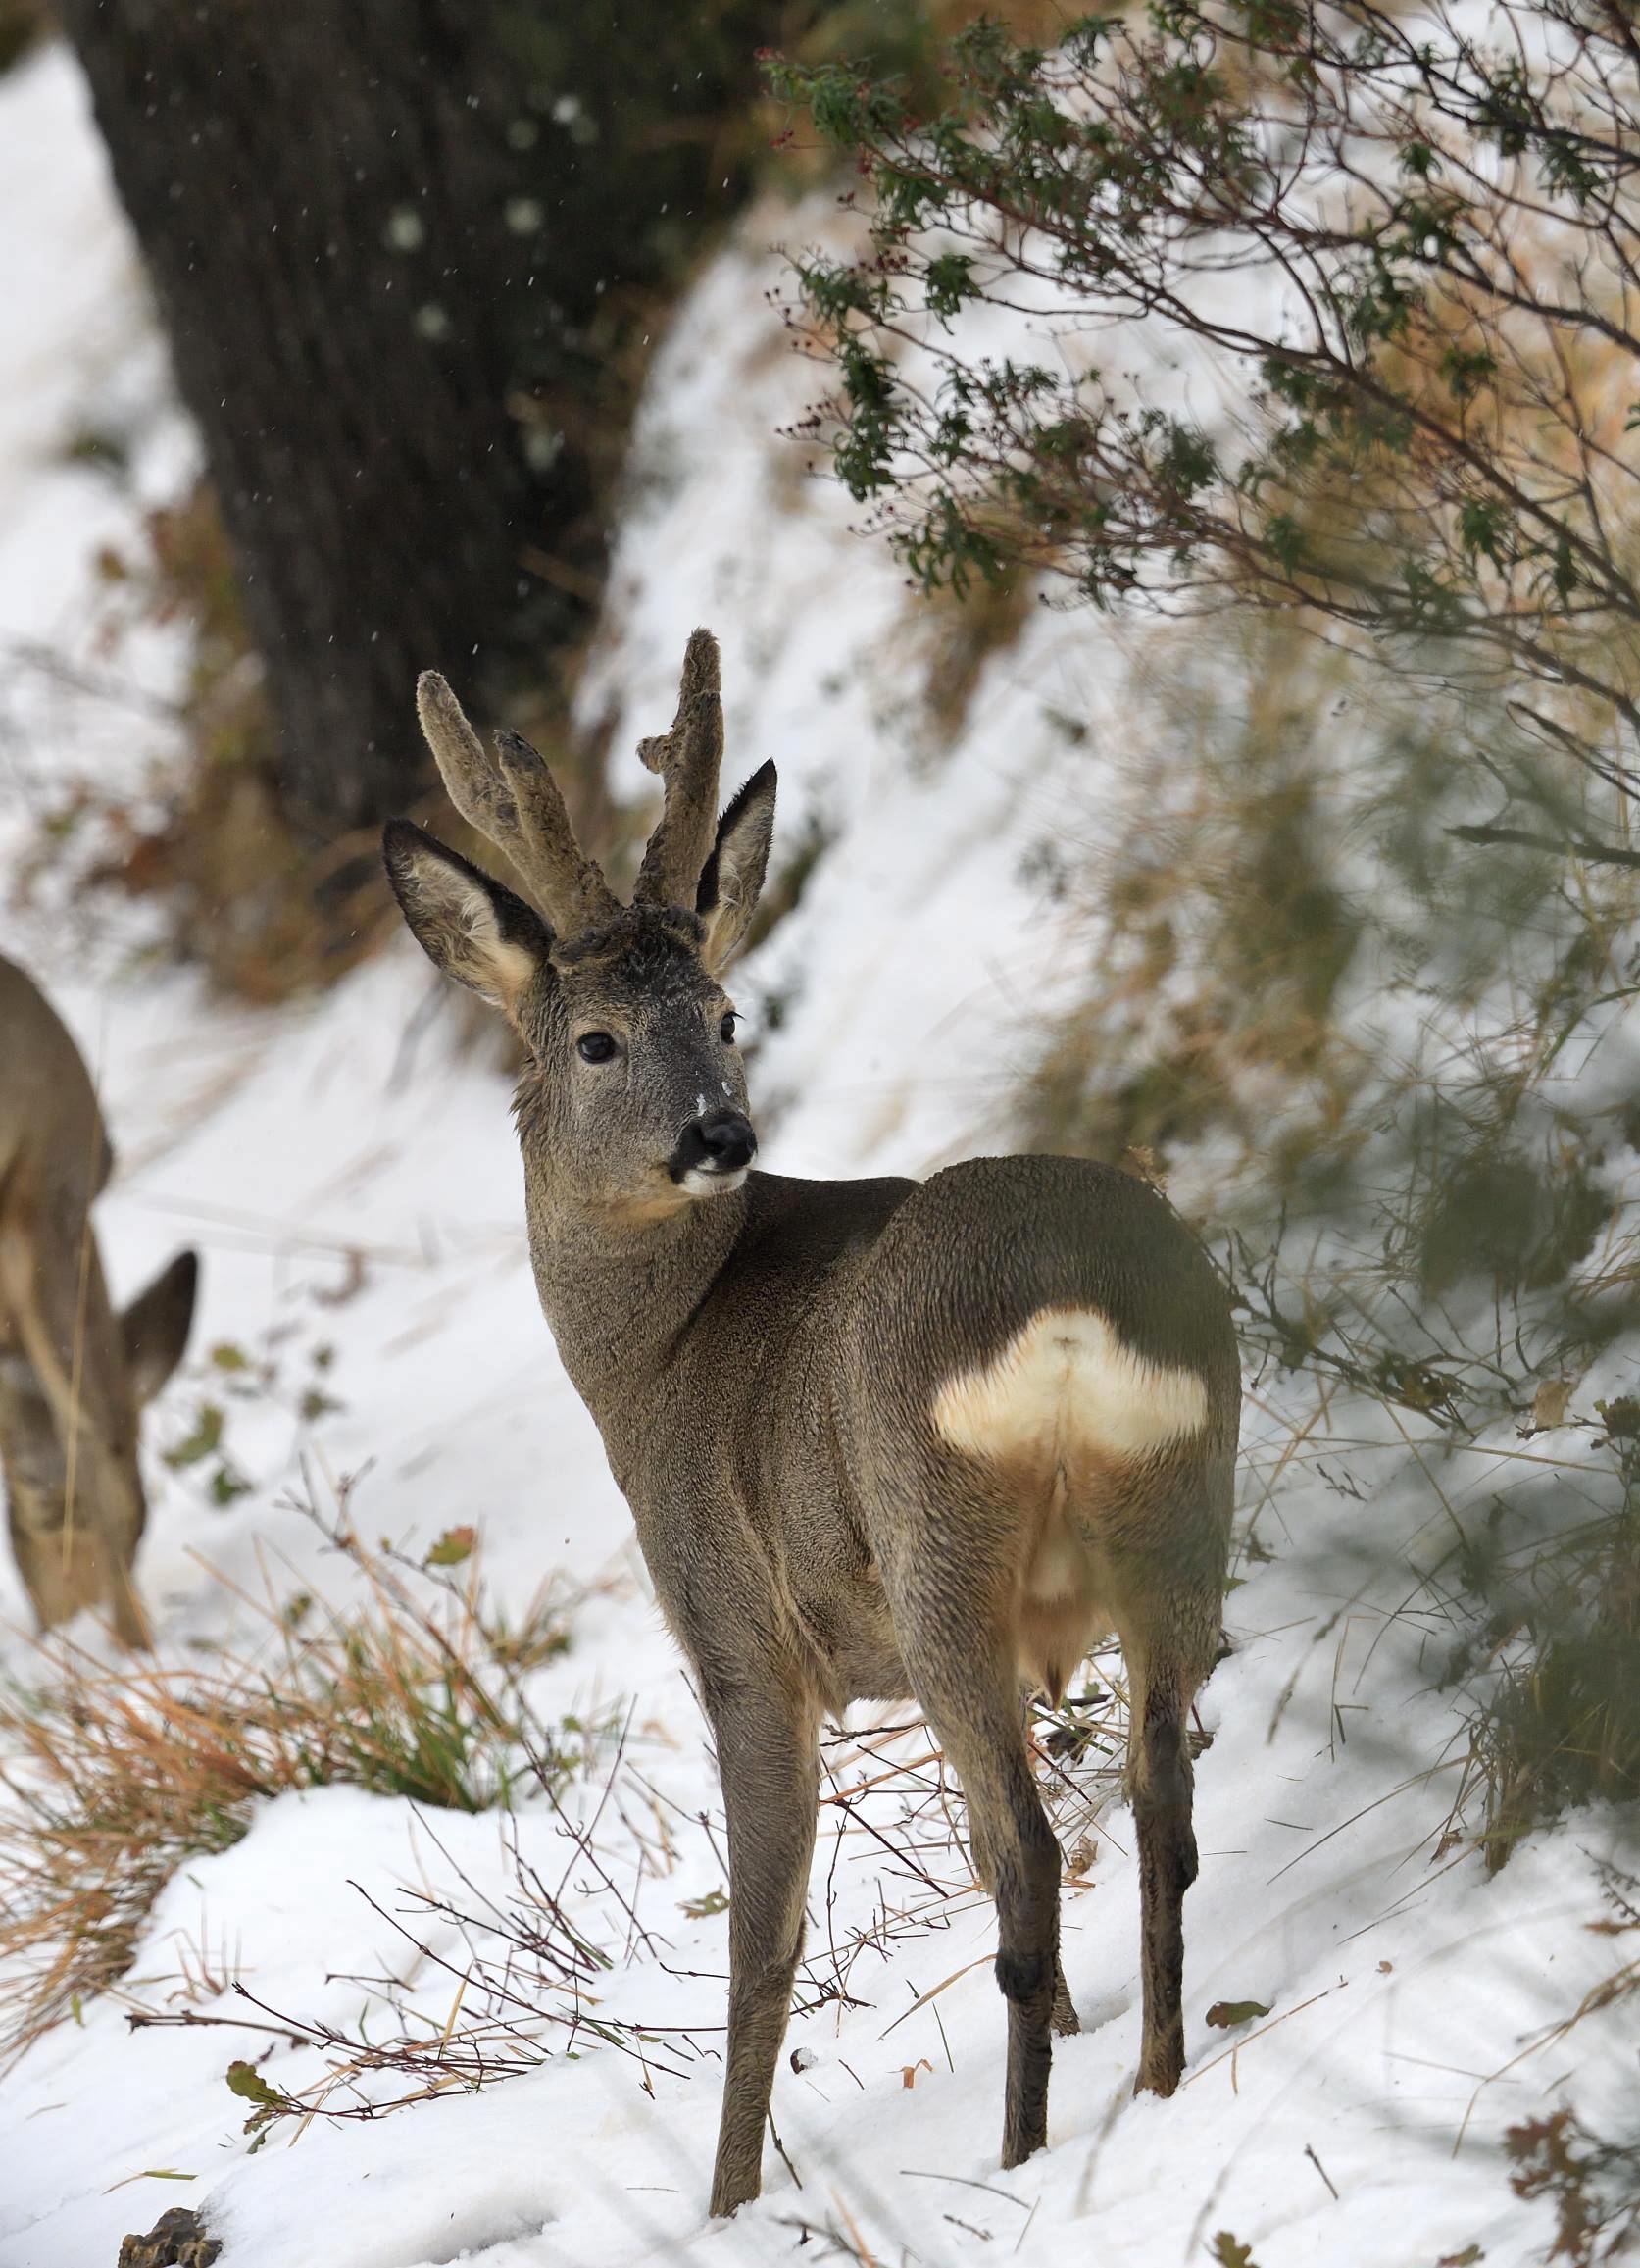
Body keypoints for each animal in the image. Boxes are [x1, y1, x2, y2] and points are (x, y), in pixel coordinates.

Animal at [383, 630, 1240, 2217]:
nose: (720, 1134)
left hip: (936, 1549)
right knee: (1158, 1796)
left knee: (1031, 1854)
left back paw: (1017, 2159)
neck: (648, 1359)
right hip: (1179, 1500)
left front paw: (724, 2200)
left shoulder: (739, 1638)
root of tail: (1070, 1307)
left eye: (725, 1015)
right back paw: (1150, 2083)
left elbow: (761, 1943)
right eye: (598, 1040)